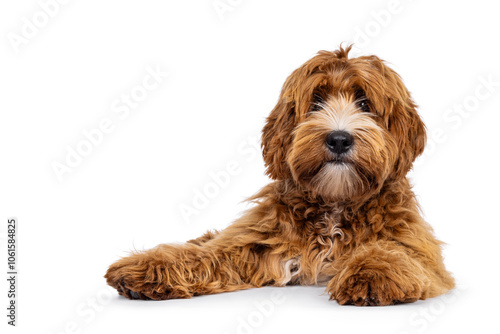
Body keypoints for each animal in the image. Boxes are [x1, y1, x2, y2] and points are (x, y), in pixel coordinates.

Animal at [106, 45, 458, 306]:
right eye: (316, 101)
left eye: (364, 102)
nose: (339, 139)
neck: (335, 203)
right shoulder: (256, 238)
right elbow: (210, 253)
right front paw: (152, 267)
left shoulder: (420, 250)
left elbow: (395, 251)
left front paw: (372, 273)